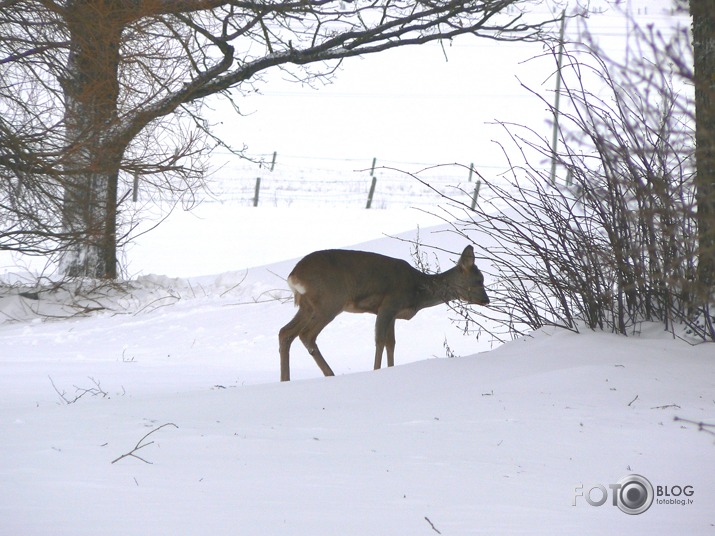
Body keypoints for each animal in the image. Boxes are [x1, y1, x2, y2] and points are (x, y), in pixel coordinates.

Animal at [280, 246, 492, 382]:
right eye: (478, 280)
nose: (486, 300)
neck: (417, 289)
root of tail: (294, 275)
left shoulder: (393, 314)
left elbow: (391, 343)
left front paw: (390, 369)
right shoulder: (388, 304)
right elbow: (380, 340)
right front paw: (376, 371)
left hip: (308, 306)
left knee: (286, 332)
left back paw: (285, 380)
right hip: (330, 301)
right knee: (306, 334)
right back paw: (329, 374)